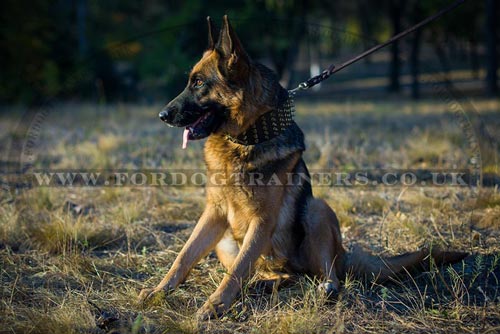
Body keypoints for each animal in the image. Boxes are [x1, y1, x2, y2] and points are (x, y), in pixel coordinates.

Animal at [139, 16, 466, 320]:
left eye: (199, 83)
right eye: (190, 81)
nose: (162, 115)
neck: (248, 138)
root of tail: (344, 256)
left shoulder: (263, 221)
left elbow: (235, 272)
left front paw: (214, 305)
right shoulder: (214, 212)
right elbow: (184, 256)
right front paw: (159, 291)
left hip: (317, 210)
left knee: (320, 274)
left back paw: (324, 289)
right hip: (227, 242)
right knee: (278, 275)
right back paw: (262, 284)